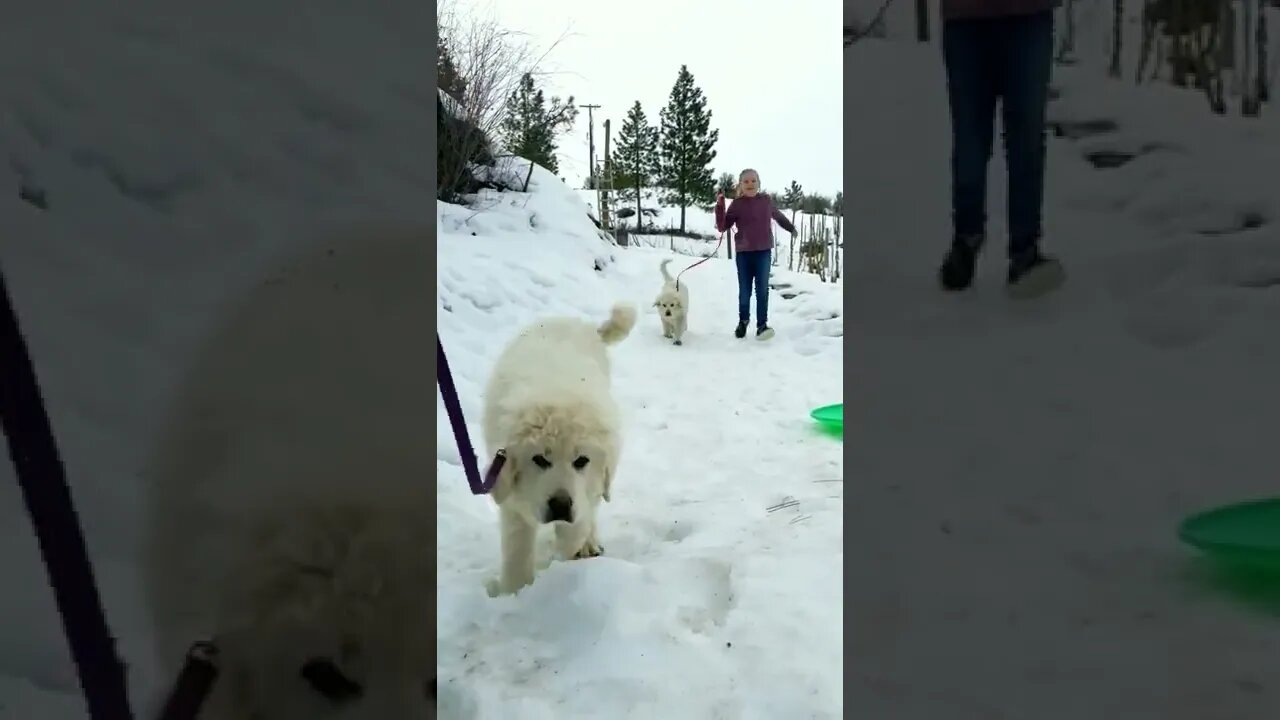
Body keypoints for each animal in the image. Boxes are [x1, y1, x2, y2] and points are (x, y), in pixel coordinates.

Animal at [481, 299, 634, 591]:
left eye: (581, 460)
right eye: (540, 459)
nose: (561, 505)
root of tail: (577, 323)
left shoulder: (585, 490)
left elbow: (577, 525)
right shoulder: (511, 495)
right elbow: (517, 548)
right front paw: (514, 592)